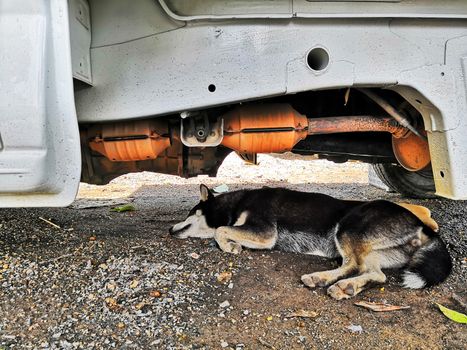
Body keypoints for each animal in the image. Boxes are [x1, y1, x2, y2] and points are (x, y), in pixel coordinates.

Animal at [170, 185, 452, 300]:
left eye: (189, 213)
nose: (170, 229)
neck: (235, 204)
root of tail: (424, 226)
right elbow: (223, 230)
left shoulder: (264, 233)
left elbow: (221, 231)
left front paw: (229, 246)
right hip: (367, 248)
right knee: (374, 273)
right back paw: (337, 283)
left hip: (347, 228)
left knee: (355, 267)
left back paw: (333, 282)